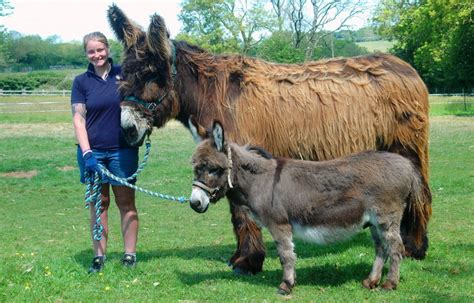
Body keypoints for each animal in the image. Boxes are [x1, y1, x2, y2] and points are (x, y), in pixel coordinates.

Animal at [188, 120, 426, 294]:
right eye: (195, 168)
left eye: (213, 169)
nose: (194, 203)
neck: (261, 181)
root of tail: (408, 166)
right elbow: (288, 254)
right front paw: (290, 282)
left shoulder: (279, 224)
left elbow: (286, 255)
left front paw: (286, 286)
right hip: (374, 222)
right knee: (381, 248)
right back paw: (371, 281)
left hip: (387, 217)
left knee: (396, 248)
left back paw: (390, 284)